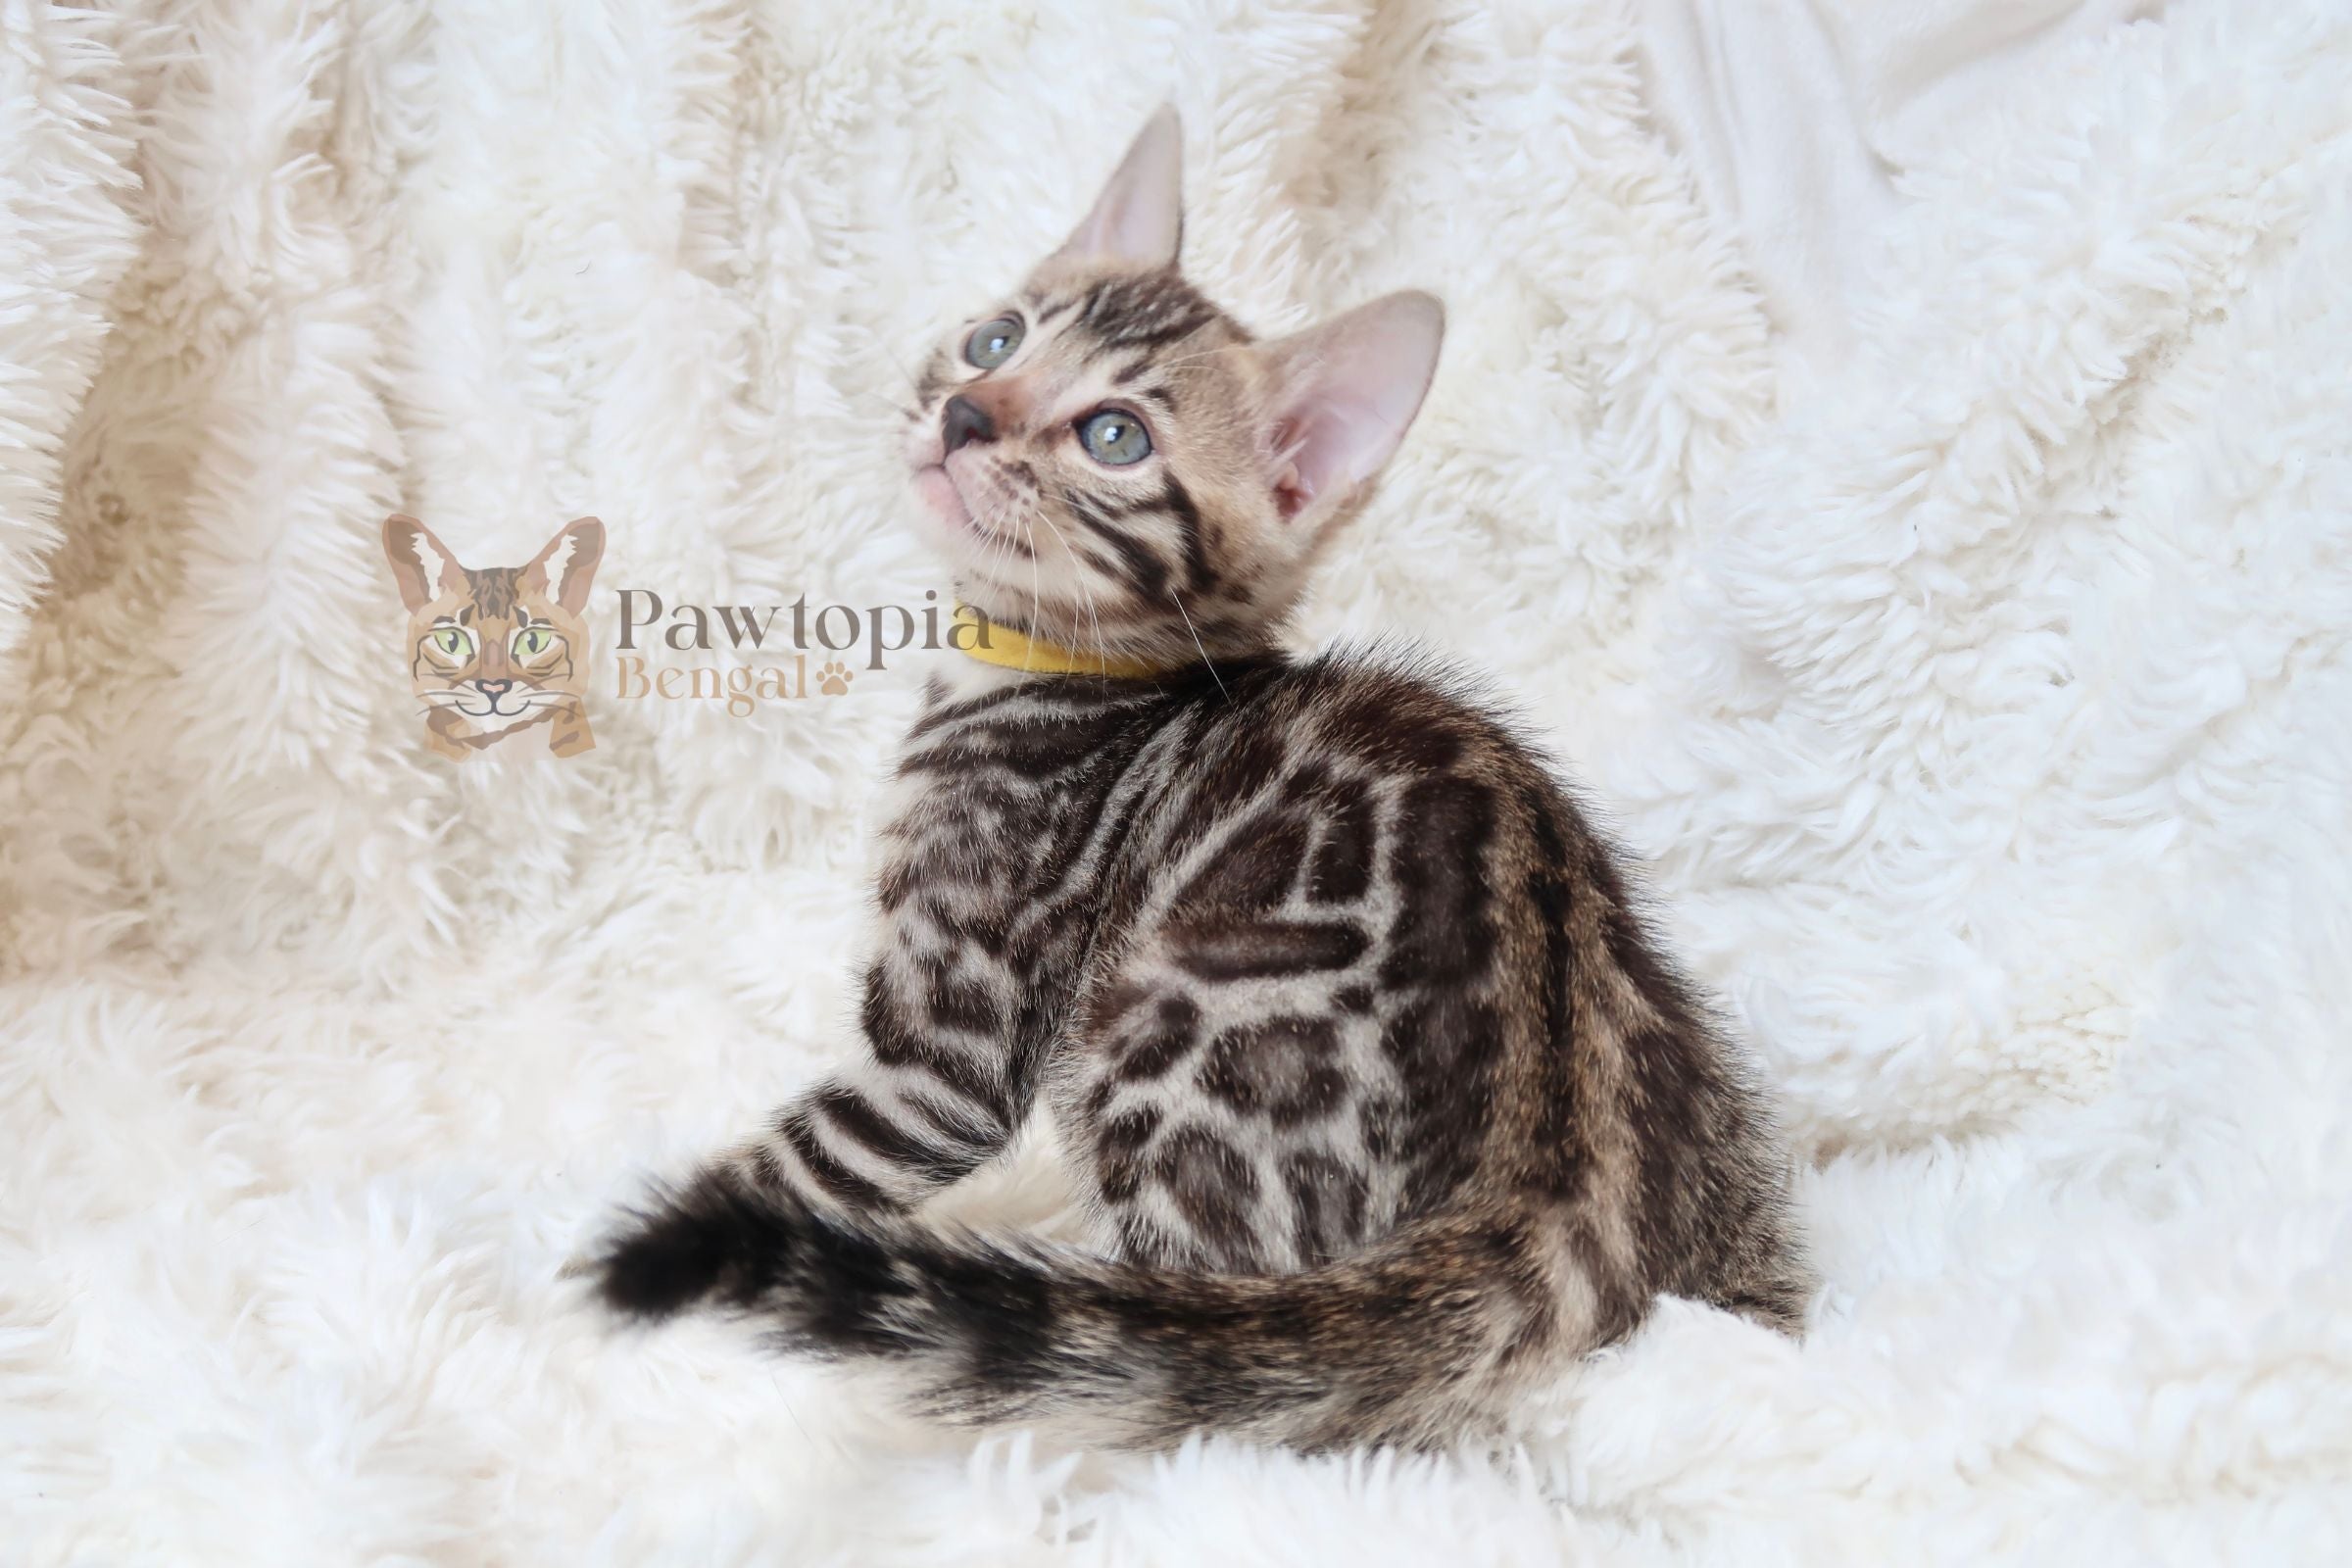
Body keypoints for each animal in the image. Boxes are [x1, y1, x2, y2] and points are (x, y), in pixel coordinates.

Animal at [587, 107, 1809, 1450]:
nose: (966, 411)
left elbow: (788, 1169)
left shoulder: (948, 1044)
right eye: (1000, 336)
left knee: (1189, 1361)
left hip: (1156, 1027)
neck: (1059, 667)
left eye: (1113, 435)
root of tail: (1554, 1188)